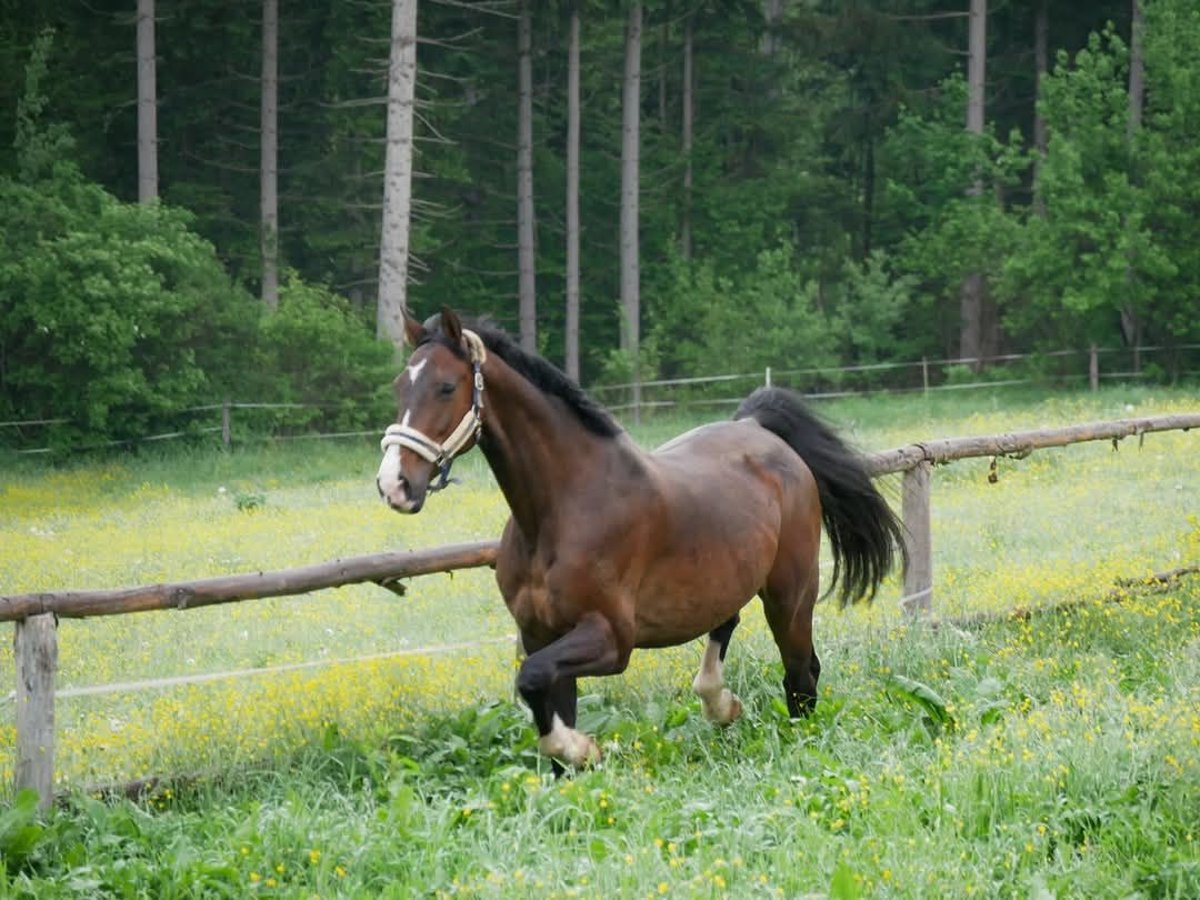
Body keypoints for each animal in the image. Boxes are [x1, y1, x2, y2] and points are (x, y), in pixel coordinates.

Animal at [374, 309, 902, 768]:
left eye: (446, 386)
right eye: (400, 385)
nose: (393, 485)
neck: (559, 514)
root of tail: (757, 428)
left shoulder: (612, 638)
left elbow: (533, 680)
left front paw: (582, 747)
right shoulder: (541, 634)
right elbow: (543, 696)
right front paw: (576, 761)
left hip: (790, 594)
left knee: (802, 674)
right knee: (727, 624)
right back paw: (719, 703)